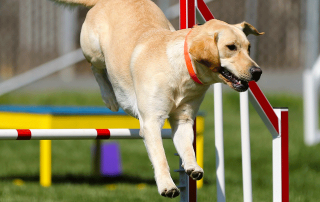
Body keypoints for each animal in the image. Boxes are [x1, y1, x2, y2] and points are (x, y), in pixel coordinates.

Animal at [52, 0, 262, 198]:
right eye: (231, 47)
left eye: (249, 48)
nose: (258, 71)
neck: (182, 71)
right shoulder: (151, 121)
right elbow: (160, 157)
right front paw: (167, 186)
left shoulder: (183, 119)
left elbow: (188, 148)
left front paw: (192, 167)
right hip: (94, 50)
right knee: (96, 68)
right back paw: (110, 97)